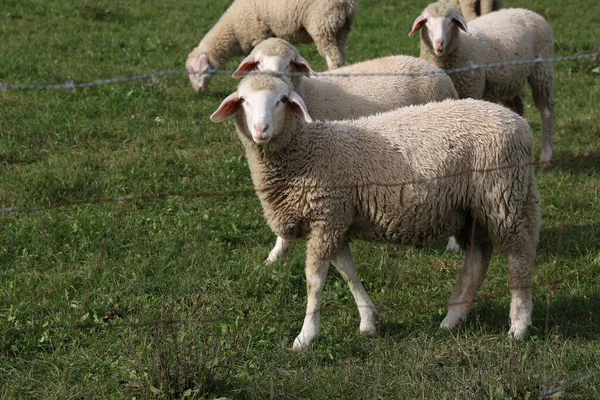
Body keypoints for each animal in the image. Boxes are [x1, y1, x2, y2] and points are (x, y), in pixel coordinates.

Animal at [185, 0, 358, 91]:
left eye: (194, 71)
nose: (198, 91)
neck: (233, 31)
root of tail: (345, 3)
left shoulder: (258, 35)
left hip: (322, 24)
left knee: (332, 57)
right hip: (342, 28)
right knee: (341, 55)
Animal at [212, 73, 544, 348]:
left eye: (282, 100)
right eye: (243, 100)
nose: (261, 129)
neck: (308, 151)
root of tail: (520, 123)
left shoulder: (326, 217)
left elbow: (314, 282)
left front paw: (306, 336)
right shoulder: (338, 219)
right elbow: (348, 273)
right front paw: (368, 322)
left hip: (504, 196)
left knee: (520, 256)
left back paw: (519, 325)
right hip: (472, 209)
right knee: (477, 259)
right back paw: (452, 319)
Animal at [232, 36, 458, 262]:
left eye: (289, 63)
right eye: (258, 63)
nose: (272, 78)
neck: (307, 94)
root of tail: (434, 69)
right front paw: (276, 255)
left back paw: (453, 244)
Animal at [410, 1, 556, 167]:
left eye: (452, 21)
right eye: (427, 21)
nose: (439, 43)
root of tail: (527, 11)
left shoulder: (471, 90)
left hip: (542, 70)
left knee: (546, 111)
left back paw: (546, 158)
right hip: (508, 81)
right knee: (517, 106)